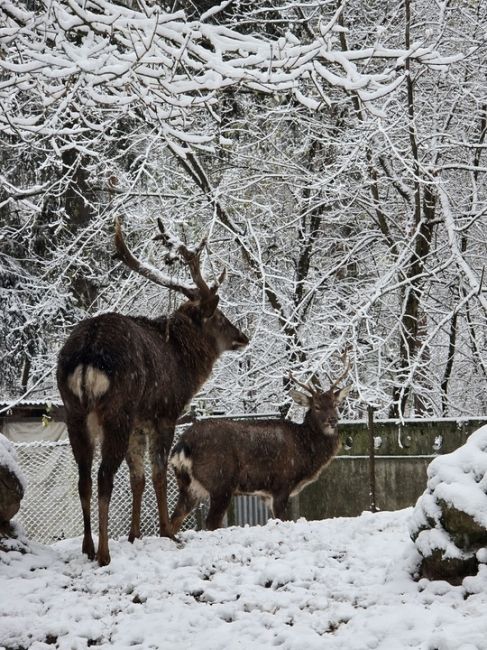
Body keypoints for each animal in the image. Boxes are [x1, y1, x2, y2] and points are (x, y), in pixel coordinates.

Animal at [55, 218, 250, 560]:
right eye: (219, 316)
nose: (243, 336)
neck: (184, 362)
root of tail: (87, 354)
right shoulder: (165, 412)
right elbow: (159, 473)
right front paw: (168, 532)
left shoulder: (138, 421)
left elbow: (138, 477)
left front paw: (135, 534)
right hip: (116, 410)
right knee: (103, 475)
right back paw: (104, 552)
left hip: (74, 411)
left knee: (83, 476)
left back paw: (88, 546)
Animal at [170, 354, 352, 532]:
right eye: (317, 406)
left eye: (336, 404)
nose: (333, 420)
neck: (306, 449)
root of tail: (182, 445)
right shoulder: (282, 483)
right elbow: (282, 519)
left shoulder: (266, 494)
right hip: (220, 482)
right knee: (211, 522)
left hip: (190, 485)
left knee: (175, 519)